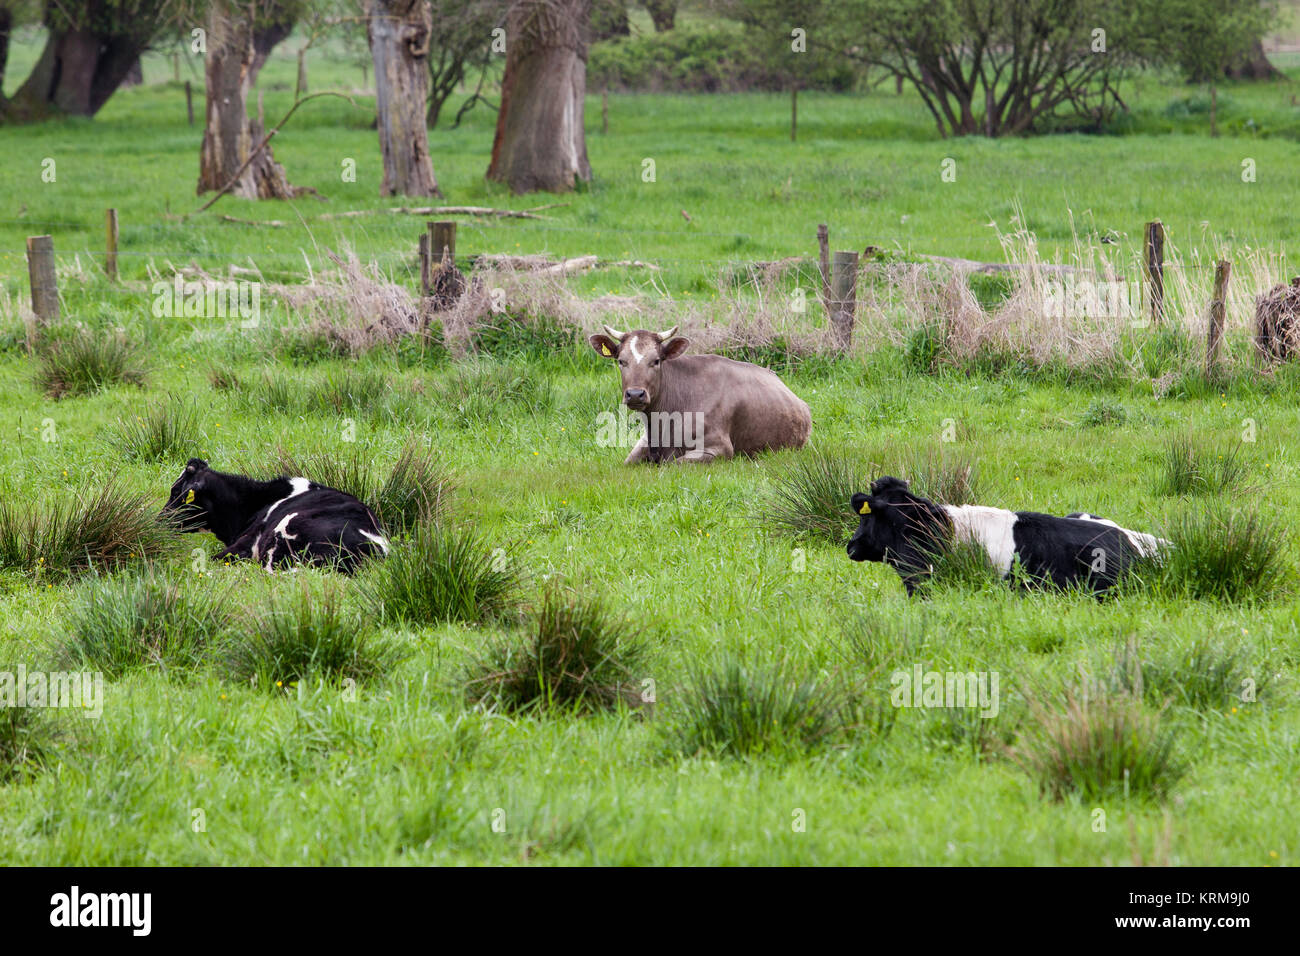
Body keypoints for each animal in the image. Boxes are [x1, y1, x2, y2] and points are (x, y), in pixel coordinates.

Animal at [587, 324, 812, 463]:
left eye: (656, 361)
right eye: (621, 361)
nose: (635, 394)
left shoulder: (719, 448)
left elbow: (674, 464)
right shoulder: (641, 445)